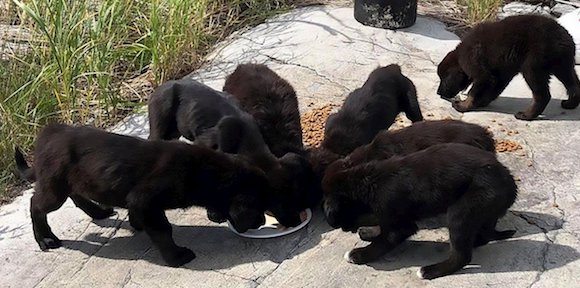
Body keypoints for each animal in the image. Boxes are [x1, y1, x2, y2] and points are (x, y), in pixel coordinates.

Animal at [322, 143, 516, 280]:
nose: (345, 229)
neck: (366, 181)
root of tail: (510, 182)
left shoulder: (397, 222)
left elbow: (383, 240)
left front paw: (359, 254)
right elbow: (379, 225)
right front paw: (370, 232)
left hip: (463, 210)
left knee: (463, 255)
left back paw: (430, 270)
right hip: (483, 210)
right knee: (482, 236)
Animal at [440, 14, 580, 120]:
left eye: (443, 79)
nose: (439, 92)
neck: (459, 56)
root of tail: (565, 39)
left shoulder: (473, 62)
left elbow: (478, 86)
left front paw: (463, 105)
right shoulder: (501, 73)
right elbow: (493, 89)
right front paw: (480, 102)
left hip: (535, 62)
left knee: (542, 93)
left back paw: (526, 115)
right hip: (563, 64)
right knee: (573, 83)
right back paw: (570, 103)